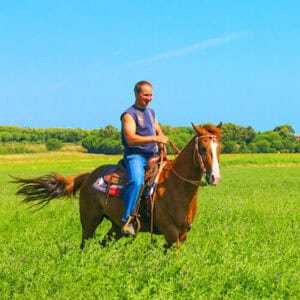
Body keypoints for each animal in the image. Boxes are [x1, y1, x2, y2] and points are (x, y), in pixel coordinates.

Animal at [12, 122, 221, 248]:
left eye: (219, 148)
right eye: (203, 149)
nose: (215, 178)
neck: (176, 187)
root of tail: (88, 176)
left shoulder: (181, 235)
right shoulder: (171, 234)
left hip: (115, 227)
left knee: (102, 243)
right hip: (89, 220)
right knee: (84, 244)